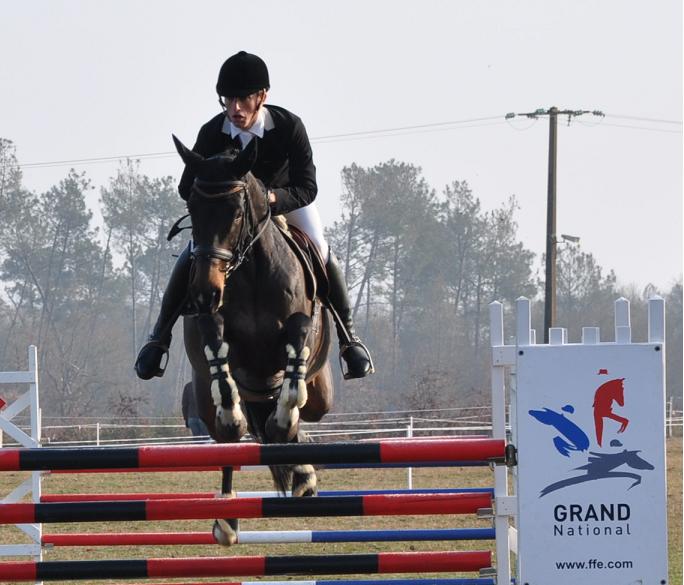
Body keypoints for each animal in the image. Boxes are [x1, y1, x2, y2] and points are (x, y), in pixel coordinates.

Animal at [174, 135, 334, 544]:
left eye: (235, 213)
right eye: (192, 208)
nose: (204, 291)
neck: (254, 271)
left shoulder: (299, 324)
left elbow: (292, 378)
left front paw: (284, 424)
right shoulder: (211, 324)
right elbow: (219, 357)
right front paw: (234, 416)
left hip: (321, 394)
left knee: (301, 414)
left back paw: (303, 473)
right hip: (202, 398)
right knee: (225, 440)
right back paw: (228, 518)